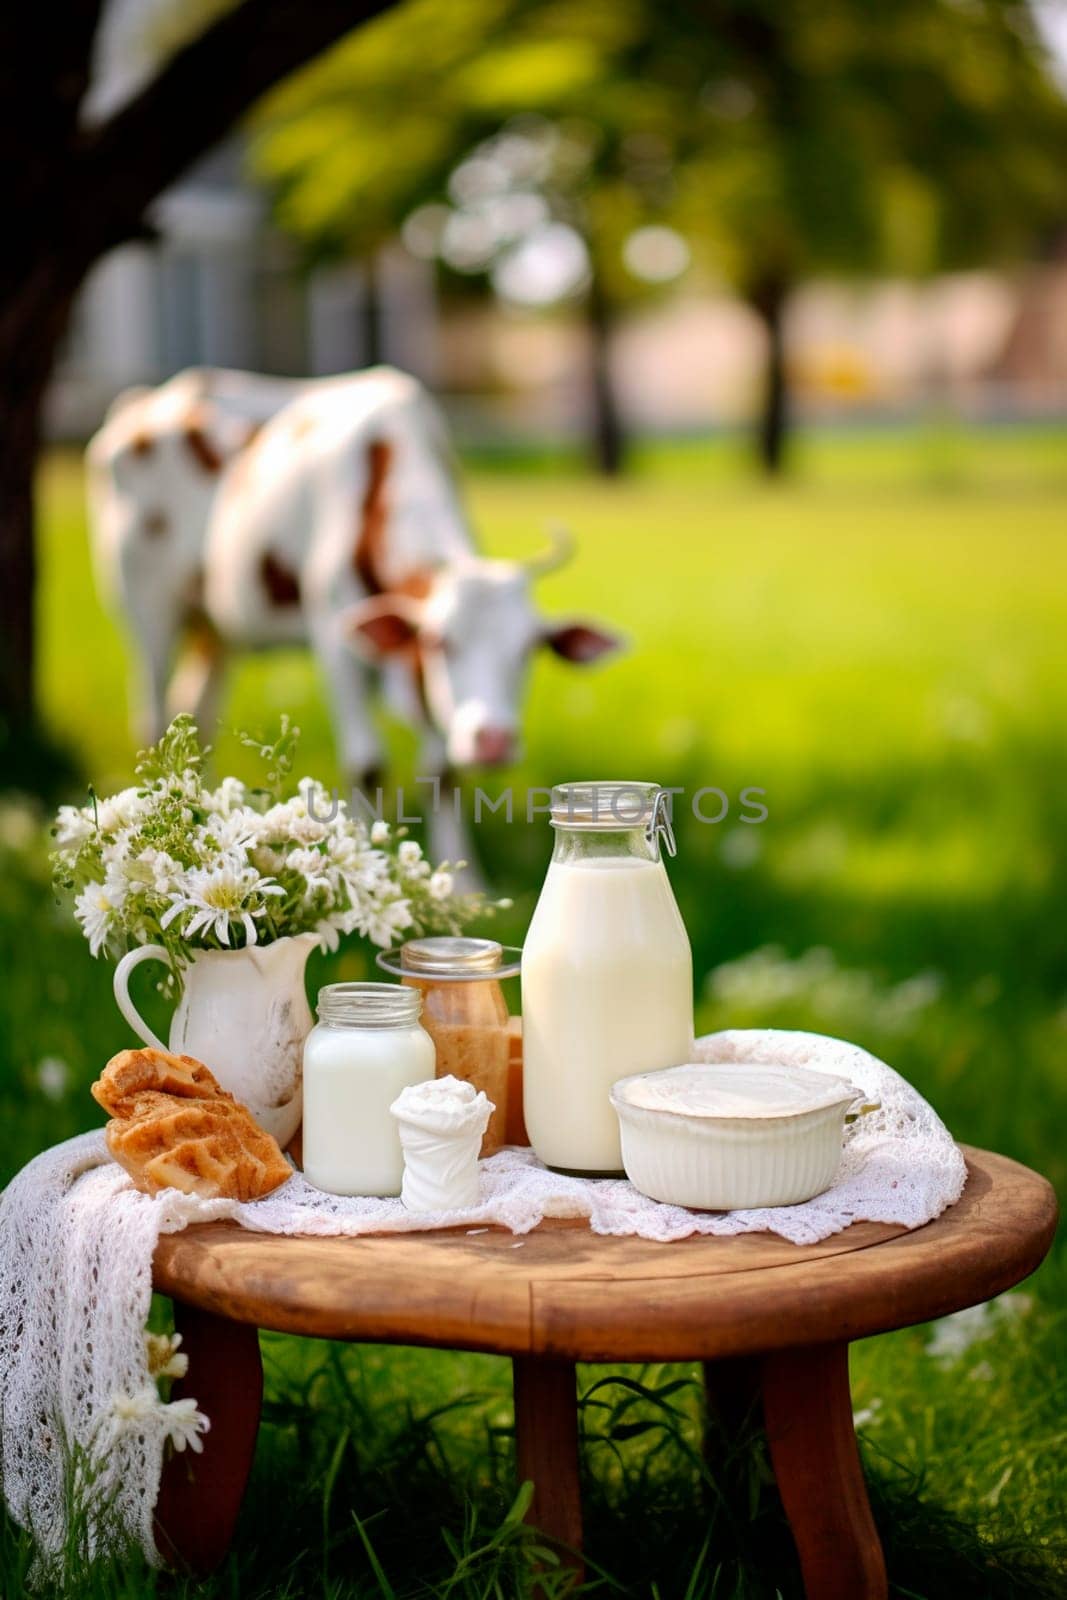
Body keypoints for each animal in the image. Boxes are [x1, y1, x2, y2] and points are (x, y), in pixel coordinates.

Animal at [91, 366, 627, 864]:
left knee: (195, 713)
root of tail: (146, 403)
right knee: (154, 715)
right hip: (147, 606)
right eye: (440, 641)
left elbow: (442, 772)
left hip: (218, 626)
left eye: (528, 649)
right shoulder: (338, 644)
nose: (492, 740)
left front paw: (463, 883)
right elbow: (367, 765)